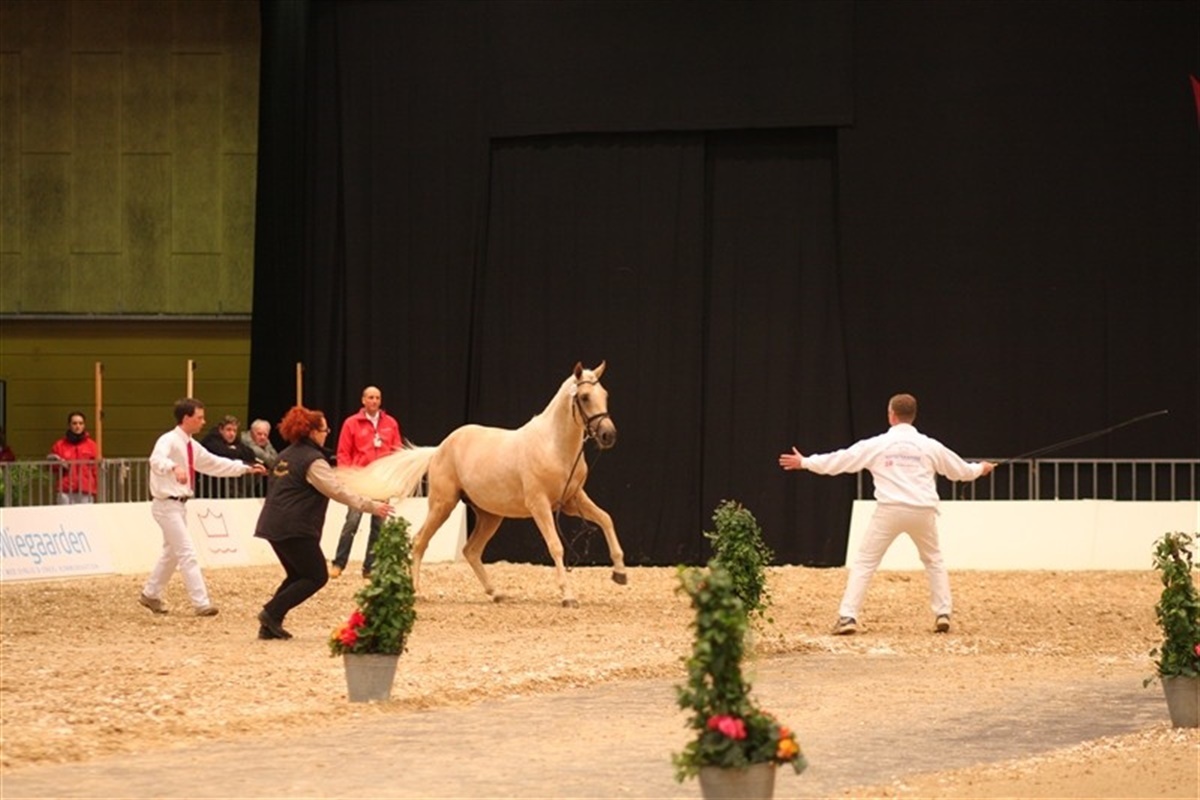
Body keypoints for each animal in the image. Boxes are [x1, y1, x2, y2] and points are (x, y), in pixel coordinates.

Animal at [340, 361, 626, 607]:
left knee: (471, 550)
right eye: (585, 397)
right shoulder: (540, 504)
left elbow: (606, 519)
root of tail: (440, 449)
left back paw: (496, 592)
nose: (608, 435)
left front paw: (620, 574)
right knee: (420, 541)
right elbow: (555, 545)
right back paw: (417, 591)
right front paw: (568, 596)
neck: (554, 446)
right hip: (443, 505)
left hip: (489, 515)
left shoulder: (571, 500)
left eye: (605, 394)